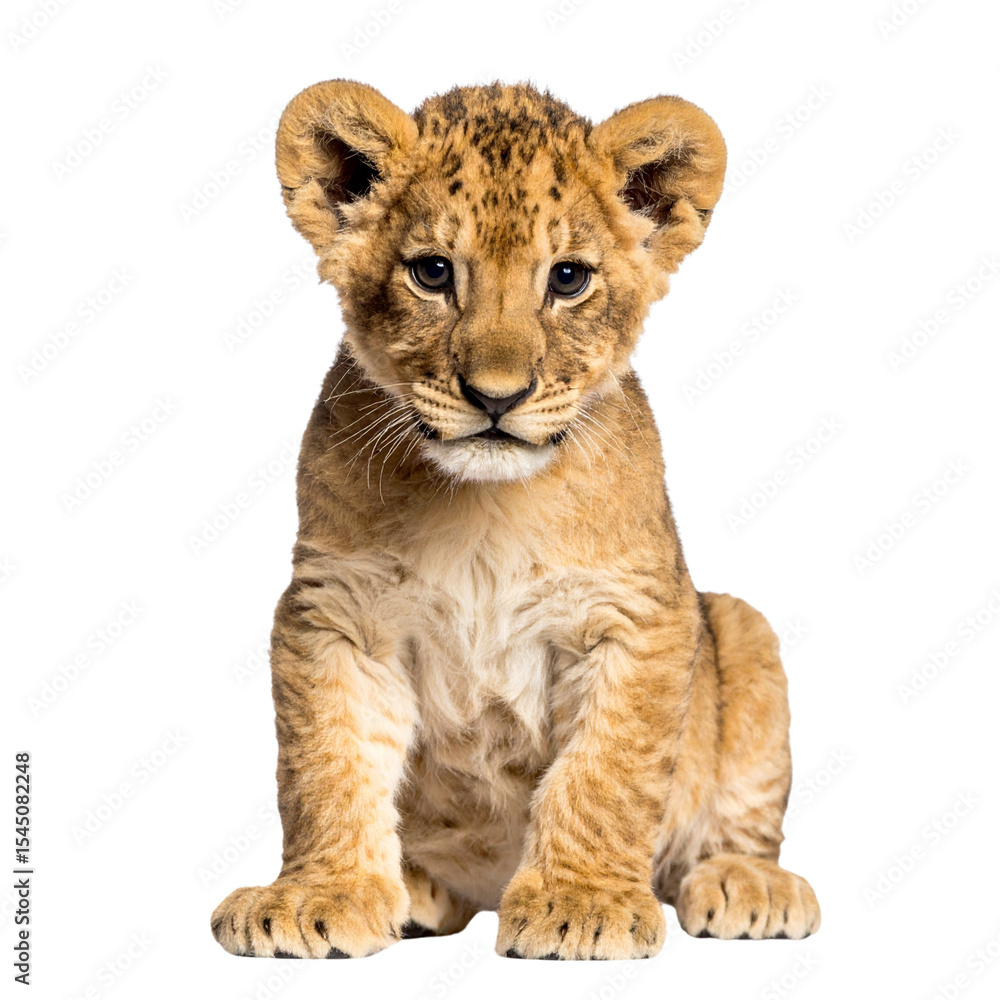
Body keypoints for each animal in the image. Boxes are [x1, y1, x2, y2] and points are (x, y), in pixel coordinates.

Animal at [210, 79, 820, 962]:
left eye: (567, 278)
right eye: (433, 272)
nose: (496, 397)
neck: (483, 509)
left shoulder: (637, 615)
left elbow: (604, 773)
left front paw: (580, 903)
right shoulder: (334, 612)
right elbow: (326, 764)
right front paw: (317, 895)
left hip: (742, 628)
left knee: (735, 825)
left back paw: (747, 884)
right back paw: (416, 892)